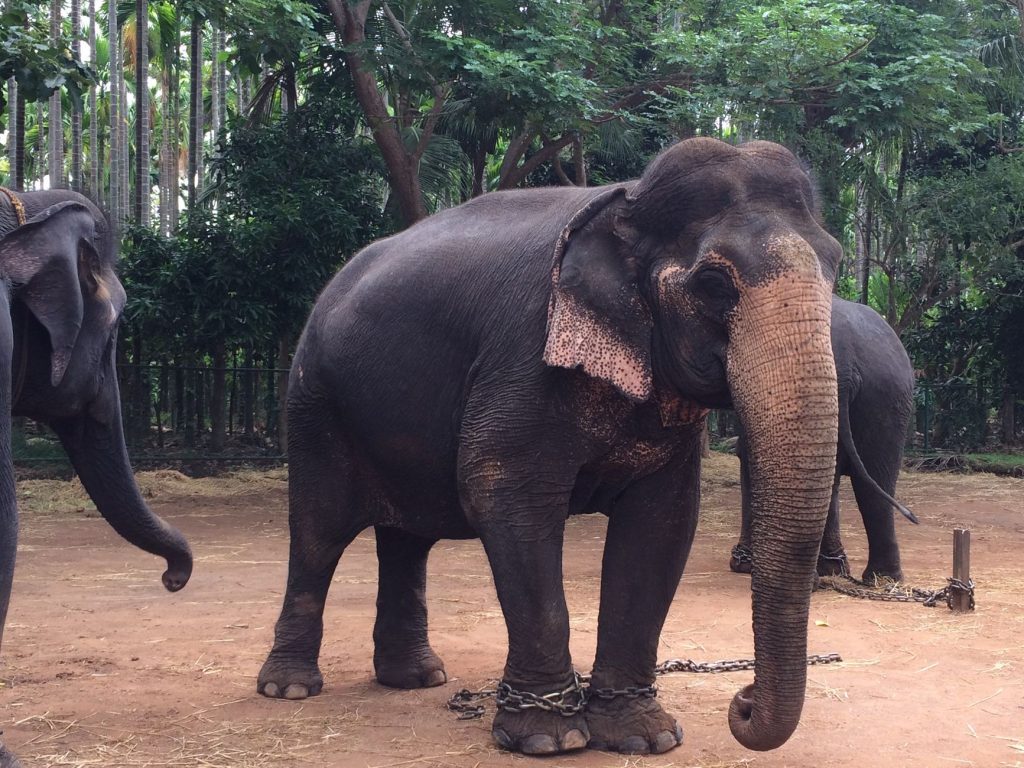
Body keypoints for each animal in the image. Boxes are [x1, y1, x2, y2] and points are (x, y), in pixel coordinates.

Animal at [257, 138, 842, 756]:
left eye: (836, 267)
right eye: (713, 283)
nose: (743, 702)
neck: (628, 201)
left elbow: (662, 523)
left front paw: (644, 736)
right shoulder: (523, 356)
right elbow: (502, 494)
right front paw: (547, 739)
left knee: (406, 540)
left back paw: (417, 678)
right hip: (312, 403)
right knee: (318, 533)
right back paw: (289, 688)